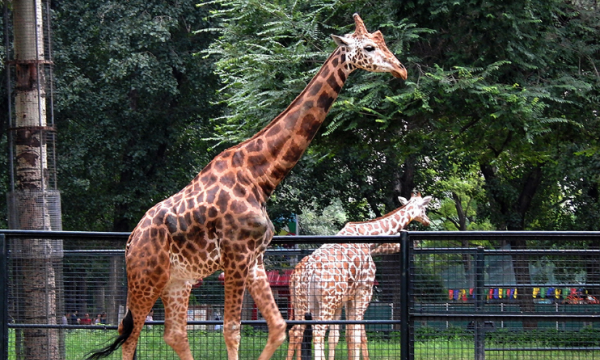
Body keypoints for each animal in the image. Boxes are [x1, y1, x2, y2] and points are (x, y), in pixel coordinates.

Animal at [86, 13, 408, 360]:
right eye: (369, 47)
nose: (401, 69)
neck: (260, 177)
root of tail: (131, 241)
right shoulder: (236, 256)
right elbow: (232, 330)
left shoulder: (254, 259)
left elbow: (278, 327)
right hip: (147, 278)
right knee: (131, 337)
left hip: (177, 281)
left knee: (174, 333)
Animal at [286, 194, 432, 360]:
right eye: (424, 208)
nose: (427, 220)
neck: (368, 238)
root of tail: (307, 272)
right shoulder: (363, 291)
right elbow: (357, 336)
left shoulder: (347, 298)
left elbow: (344, 335)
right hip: (327, 302)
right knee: (317, 333)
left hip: (307, 302)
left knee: (297, 331)